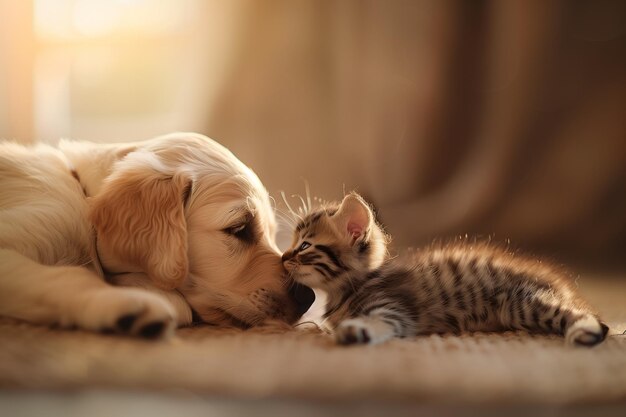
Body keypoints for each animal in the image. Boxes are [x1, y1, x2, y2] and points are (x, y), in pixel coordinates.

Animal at [280, 192, 608, 344]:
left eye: (305, 246)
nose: (283, 257)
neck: (351, 288)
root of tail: (556, 281)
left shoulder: (393, 307)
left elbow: (382, 321)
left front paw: (358, 329)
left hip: (521, 303)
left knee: (594, 321)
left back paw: (585, 332)